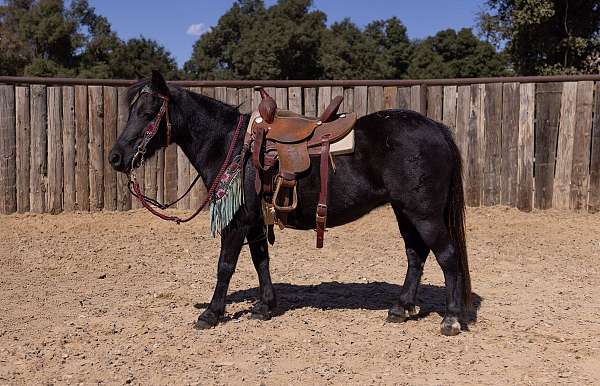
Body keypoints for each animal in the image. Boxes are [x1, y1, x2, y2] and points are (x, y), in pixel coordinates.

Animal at [110, 71, 472, 334]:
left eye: (148, 113)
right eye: (131, 111)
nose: (116, 157)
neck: (232, 146)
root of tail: (438, 129)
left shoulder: (237, 222)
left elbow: (225, 265)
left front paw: (211, 313)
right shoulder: (256, 221)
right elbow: (261, 261)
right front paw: (264, 307)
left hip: (424, 214)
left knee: (447, 256)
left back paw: (452, 318)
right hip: (405, 211)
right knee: (416, 255)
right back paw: (401, 307)